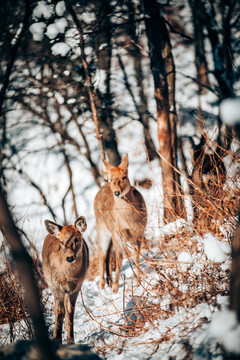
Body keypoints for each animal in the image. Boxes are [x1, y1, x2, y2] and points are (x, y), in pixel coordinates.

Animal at [42, 215, 89, 344]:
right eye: (62, 242)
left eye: (77, 239)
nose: (69, 257)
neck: (67, 276)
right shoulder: (56, 286)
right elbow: (60, 312)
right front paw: (57, 339)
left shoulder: (77, 287)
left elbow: (70, 311)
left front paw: (70, 340)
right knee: (57, 310)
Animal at [93, 154, 146, 292]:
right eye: (111, 179)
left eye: (124, 177)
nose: (117, 192)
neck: (129, 220)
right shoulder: (117, 232)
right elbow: (119, 258)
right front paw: (116, 288)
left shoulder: (139, 231)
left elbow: (136, 256)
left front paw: (138, 282)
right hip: (103, 230)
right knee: (102, 256)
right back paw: (103, 286)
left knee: (107, 256)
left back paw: (109, 282)